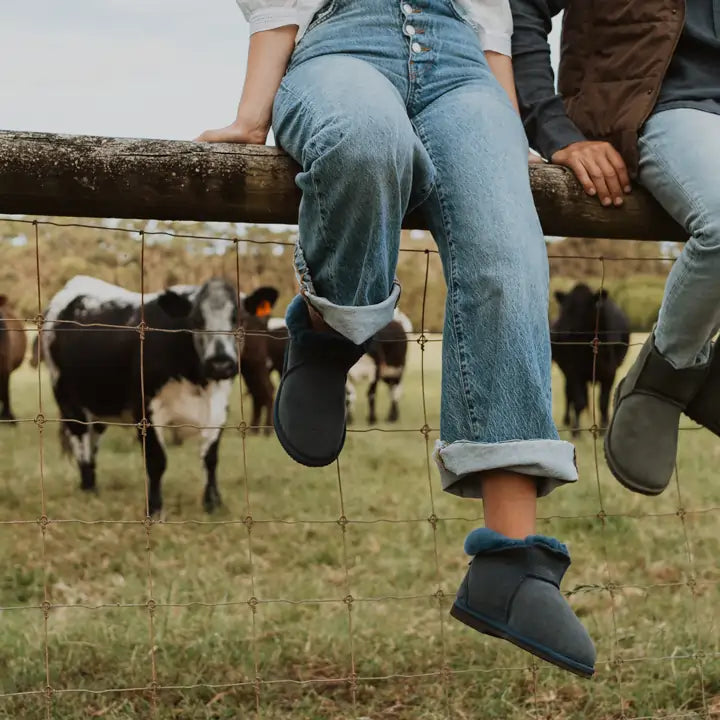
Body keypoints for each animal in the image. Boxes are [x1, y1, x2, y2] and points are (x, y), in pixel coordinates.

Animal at [42, 272, 278, 516]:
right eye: (196, 320)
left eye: (239, 320)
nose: (220, 364)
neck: (196, 380)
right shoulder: (145, 408)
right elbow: (156, 460)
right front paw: (155, 509)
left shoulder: (218, 408)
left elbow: (210, 458)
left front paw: (213, 503)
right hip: (68, 399)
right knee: (80, 441)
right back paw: (89, 487)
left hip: (99, 404)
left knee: (92, 441)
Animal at [552, 284, 632, 436]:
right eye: (562, 308)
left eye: (581, 309)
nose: (559, 331)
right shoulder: (573, 371)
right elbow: (579, 402)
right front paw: (576, 430)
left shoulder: (610, 372)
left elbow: (603, 402)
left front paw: (604, 428)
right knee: (569, 395)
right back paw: (567, 420)